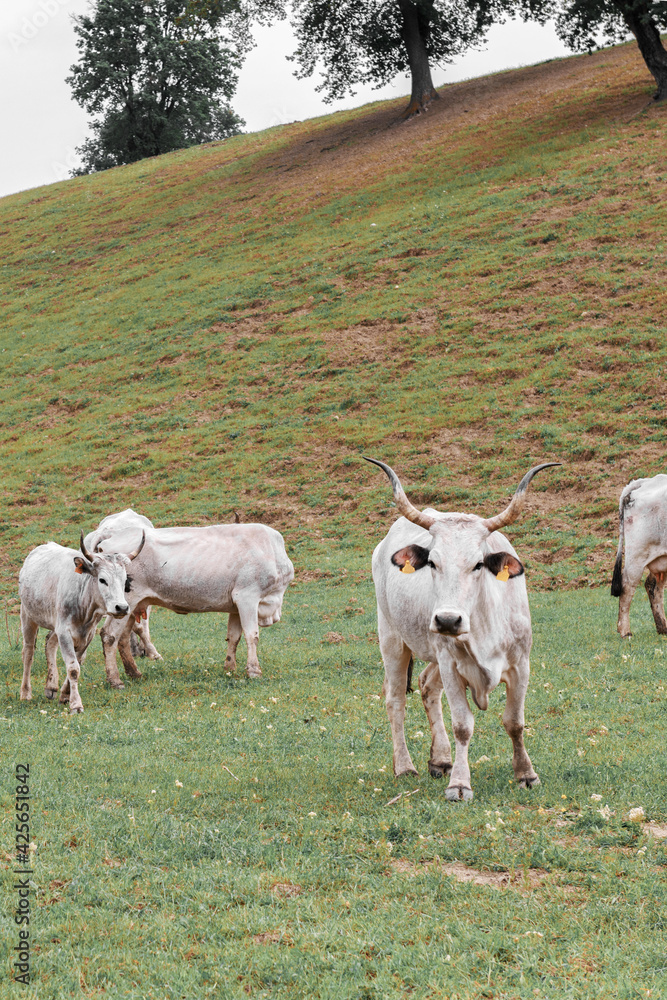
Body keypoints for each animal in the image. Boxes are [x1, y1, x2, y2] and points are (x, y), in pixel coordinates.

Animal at [18, 531, 145, 713]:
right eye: (102, 580)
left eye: (125, 580)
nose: (121, 607)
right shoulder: (65, 632)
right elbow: (73, 668)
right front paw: (76, 704)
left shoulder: (86, 634)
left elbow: (76, 663)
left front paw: (65, 695)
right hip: (28, 616)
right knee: (28, 653)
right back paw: (25, 693)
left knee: (49, 642)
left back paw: (51, 686)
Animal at [88, 522, 294, 688]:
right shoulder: (247, 596)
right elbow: (252, 635)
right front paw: (253, 670)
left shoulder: (235, 605)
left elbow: (233, 637)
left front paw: (229, 668)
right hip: (124, 602)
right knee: (109, 635)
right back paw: (115, 680)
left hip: (131, 606)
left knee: (123, 637)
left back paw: (134, 673)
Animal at [366, 457, 558, 802]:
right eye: (432, 562)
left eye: (479, 563)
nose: (447, 620)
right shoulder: (452, 666)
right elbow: (463, 725)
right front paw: (459, 783)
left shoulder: (521, 664)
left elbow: (514, 722)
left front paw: (526, 774)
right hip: (392, 637)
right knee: (395, 699)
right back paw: (405, 767)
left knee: (427, 686)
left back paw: (440, 758)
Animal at [611, 474, 667, 637]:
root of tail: (646, 481)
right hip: (637, 554)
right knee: (627, 586)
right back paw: (625, 631)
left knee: (653, 586)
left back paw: (663, 628)